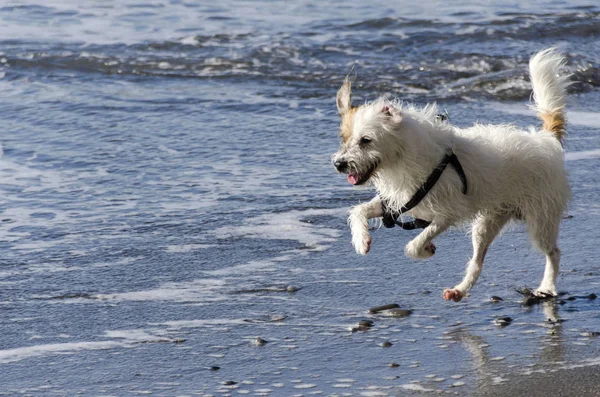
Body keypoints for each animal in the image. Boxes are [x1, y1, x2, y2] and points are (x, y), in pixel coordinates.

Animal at [332, 47, 572, 300]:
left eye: (366, 140)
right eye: (344, 138)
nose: (339, 164)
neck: (403, 158)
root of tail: (546, 139)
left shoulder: (447, 214)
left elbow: (414, 245)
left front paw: (425, 249)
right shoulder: (398, 201)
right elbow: (358, 210)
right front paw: (361, 240)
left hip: (540, 218)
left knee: (553, 251)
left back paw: (547, 286)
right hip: (487, 222)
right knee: (477, 261)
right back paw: (459, 290)